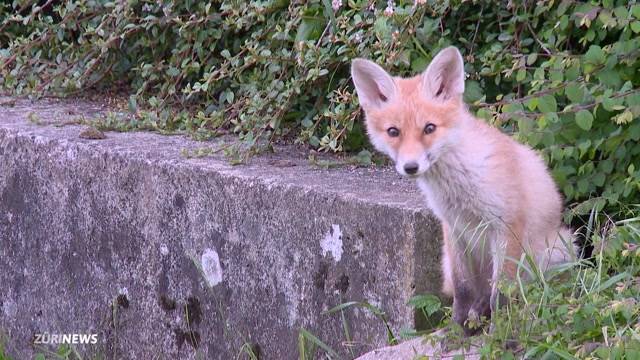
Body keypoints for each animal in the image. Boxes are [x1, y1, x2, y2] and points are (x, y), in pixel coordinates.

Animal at [350, 47, 576, 334]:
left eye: (429, 128)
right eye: (393, 132)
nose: (411, 167)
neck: (461, 185)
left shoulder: (507, 226)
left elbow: (501, 293)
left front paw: (500, 332)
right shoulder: (454, 228)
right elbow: (464, 288)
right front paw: (457, 329)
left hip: (556, 251)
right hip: (448, 262)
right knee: (478, 292)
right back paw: (476, 314)